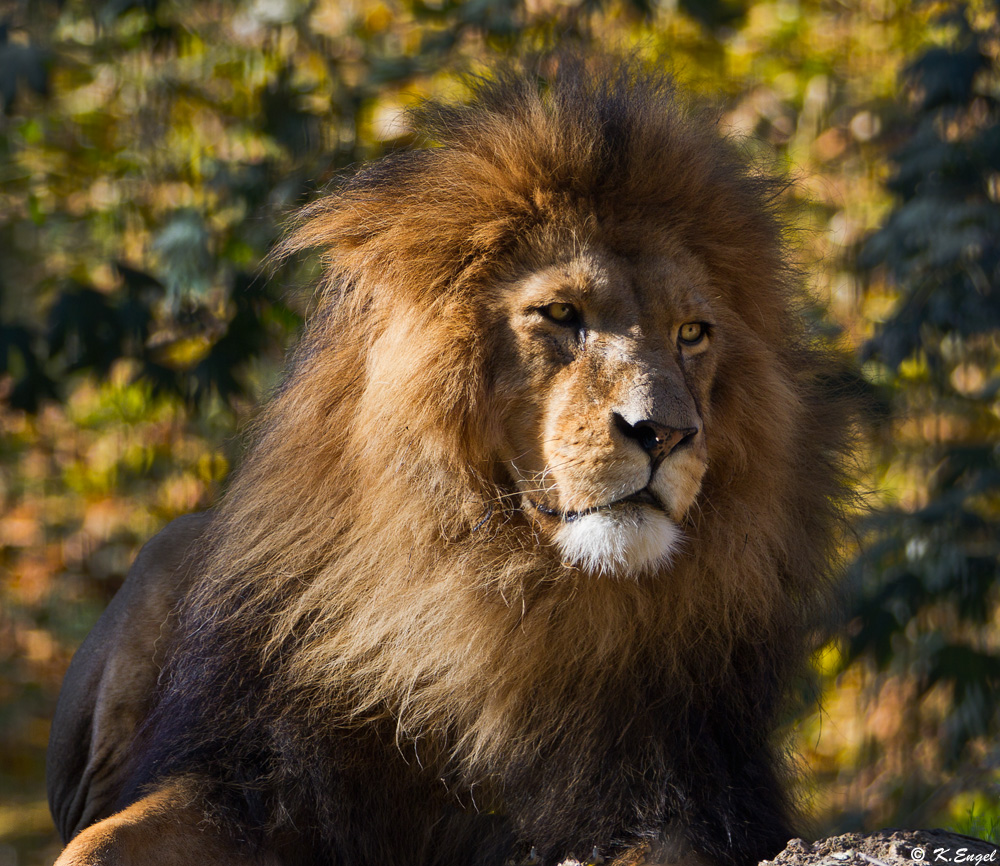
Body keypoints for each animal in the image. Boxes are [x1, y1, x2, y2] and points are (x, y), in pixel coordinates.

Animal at [48, 55, 860, 864]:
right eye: (561, 314)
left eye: (692, 332)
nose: (663, 434)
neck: (498, 595)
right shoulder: (251, 775)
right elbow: (96, 842)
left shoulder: (692, 793)